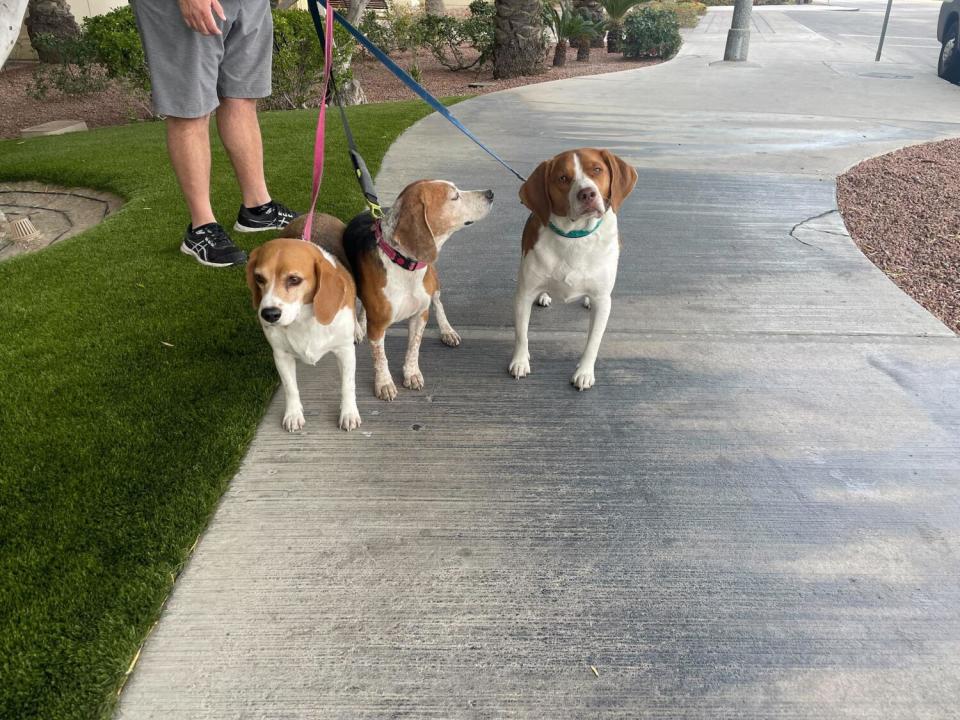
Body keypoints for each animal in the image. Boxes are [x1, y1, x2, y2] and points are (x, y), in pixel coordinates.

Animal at [510, 148, 636, 390]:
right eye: (562, 178)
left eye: (597, 169)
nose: (587, 194)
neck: (574, 237)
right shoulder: (524, 294)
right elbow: (522, 333)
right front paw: (520, 361)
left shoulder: (603, 301)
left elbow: (593, 341)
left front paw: (584, 372)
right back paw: (545, 296)